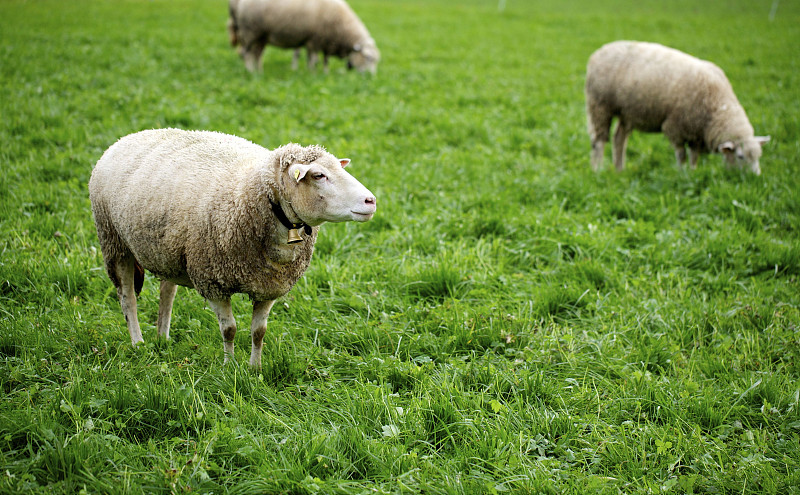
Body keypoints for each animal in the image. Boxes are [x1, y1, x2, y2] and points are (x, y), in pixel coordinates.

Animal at [89, 128, 376, 368]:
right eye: (318, 175)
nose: (371, 201)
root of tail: (129, 136)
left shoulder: (268, 285)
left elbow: (259, 332)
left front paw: (255, 368)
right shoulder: (212, 281)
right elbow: (229, 330)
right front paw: (229, 367)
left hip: (167, 249)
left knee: (167, 293)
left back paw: (163, 337)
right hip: (114, 241)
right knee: (128, 298)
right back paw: (138, 343)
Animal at [227, 0, 380, 74]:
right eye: (368, 58)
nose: (371, 77)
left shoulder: (324, 41)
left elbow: (325, 60)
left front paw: (325, 73)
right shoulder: (314, 39)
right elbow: (313, 59)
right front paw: (312, 73)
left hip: (261, 36)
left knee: (257, 55)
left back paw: (259, 72)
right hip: (250, 31)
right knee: (246, 53)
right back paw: (250, 71)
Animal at [580, 41, 768, 175]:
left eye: (759, 156)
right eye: (740, 157)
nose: (756, 178)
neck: (716, 108)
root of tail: (599, 52)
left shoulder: (695, 133)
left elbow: (694, 156)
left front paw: (693, 172)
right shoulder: (675, 127)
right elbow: (681, 155)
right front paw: (682, 173)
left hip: (626, 112)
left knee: (619, 139)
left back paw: (620, 169)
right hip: (600, 105)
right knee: (599, 141)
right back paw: (597, 170)